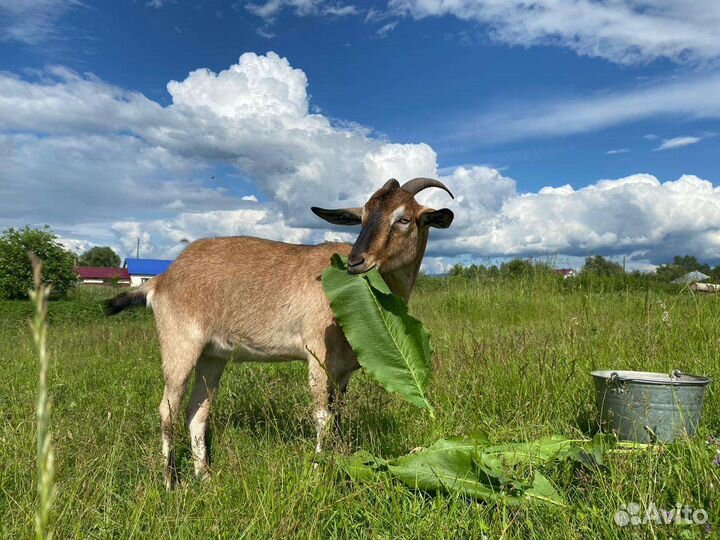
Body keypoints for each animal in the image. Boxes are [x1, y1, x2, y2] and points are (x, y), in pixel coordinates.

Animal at [105, 177, 454, 489]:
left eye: (404, 218)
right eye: (363, 217)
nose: (356, 261)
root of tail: (162, 279)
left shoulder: (343, 371)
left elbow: (338, 417)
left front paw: (340, 465)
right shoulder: (318, 356)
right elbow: (322, 417)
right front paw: (316, 475)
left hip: (212, 356)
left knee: (197, 412)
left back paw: (205, 477)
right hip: (180, 344)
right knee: (168, 408)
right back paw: (170, 482)